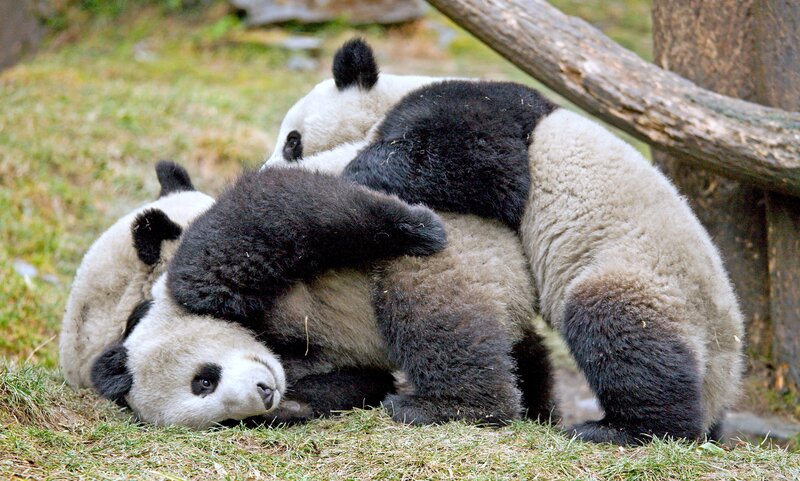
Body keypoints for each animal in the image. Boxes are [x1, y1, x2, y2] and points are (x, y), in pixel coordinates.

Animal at [91, 167, 554, 429]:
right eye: (217, 413)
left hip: (457, 260)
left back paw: (451, 407)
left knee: (434, 316)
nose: (264, 395)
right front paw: (289, 409)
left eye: (203, 380)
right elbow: (356, 382)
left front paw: (414, 224)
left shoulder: (204, 285)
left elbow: (258, 215)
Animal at [262, 39, 745, 445]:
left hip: (650, 280)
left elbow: (486, 167)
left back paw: (621, 429)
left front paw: (356, 171)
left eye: (292, 140)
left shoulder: (485, 109)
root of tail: (724, 381)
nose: (271, 166)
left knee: (621, 332)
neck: (392, 95)